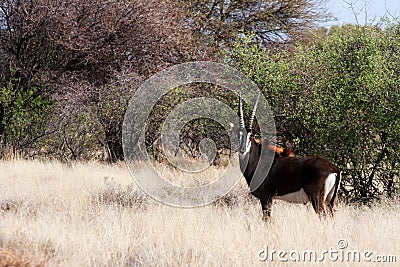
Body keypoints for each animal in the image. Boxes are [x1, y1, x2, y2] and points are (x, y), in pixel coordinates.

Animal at [238, 93, 340, 221]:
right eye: (238, 135)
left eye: (251, 136)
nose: (242, 150)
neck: (258, 161)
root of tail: (334, 169)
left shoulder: (266, 197)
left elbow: (267, 219)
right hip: (331, 201)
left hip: (317, 199)